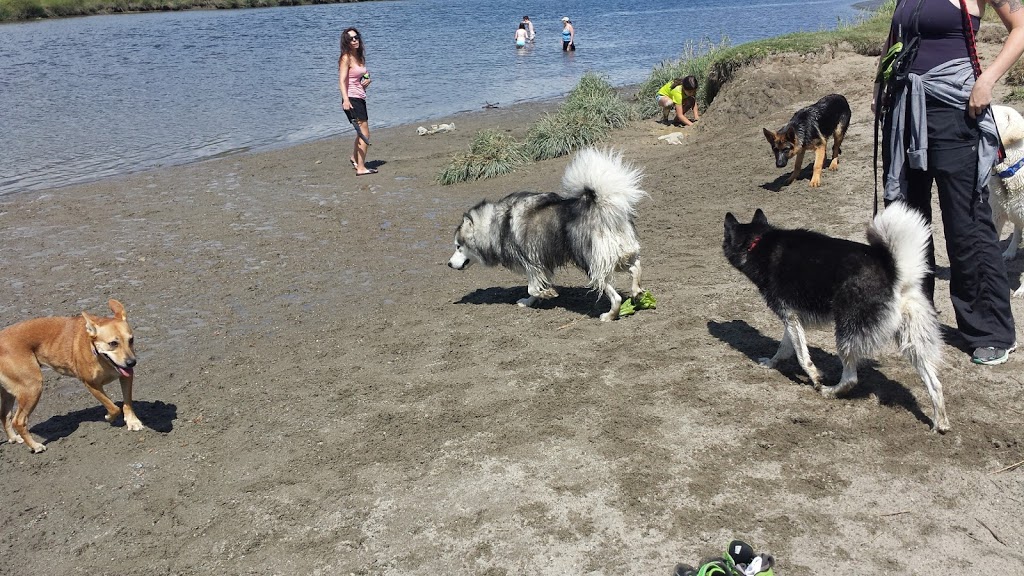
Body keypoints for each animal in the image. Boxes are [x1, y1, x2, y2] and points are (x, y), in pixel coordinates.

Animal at [0, 297, 144, 450]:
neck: (101, 358)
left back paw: (14, 438)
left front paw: (132, 421)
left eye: (131, 340)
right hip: (32, 387)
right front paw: (109, 417)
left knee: (4, 415)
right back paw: (35, 446)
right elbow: (113, 407)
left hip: (10, 391)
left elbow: (127, 402)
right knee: (18, 421)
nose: (131, 362)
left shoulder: (126, 376)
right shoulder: (91, 384)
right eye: (113, 343)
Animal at [446, 145, 643, 319]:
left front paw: (548, 294)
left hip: (591, 263)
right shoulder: (541, 266)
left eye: (458, 246)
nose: (448, 264)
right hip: (619, 255)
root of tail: (602, 205)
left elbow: (532, 288)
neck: (497, 224)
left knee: (616, 297)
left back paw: (609, 315)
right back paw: (636, 291)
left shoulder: (532, 263)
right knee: (636, 268)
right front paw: (529, 301)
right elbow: (535, 288)